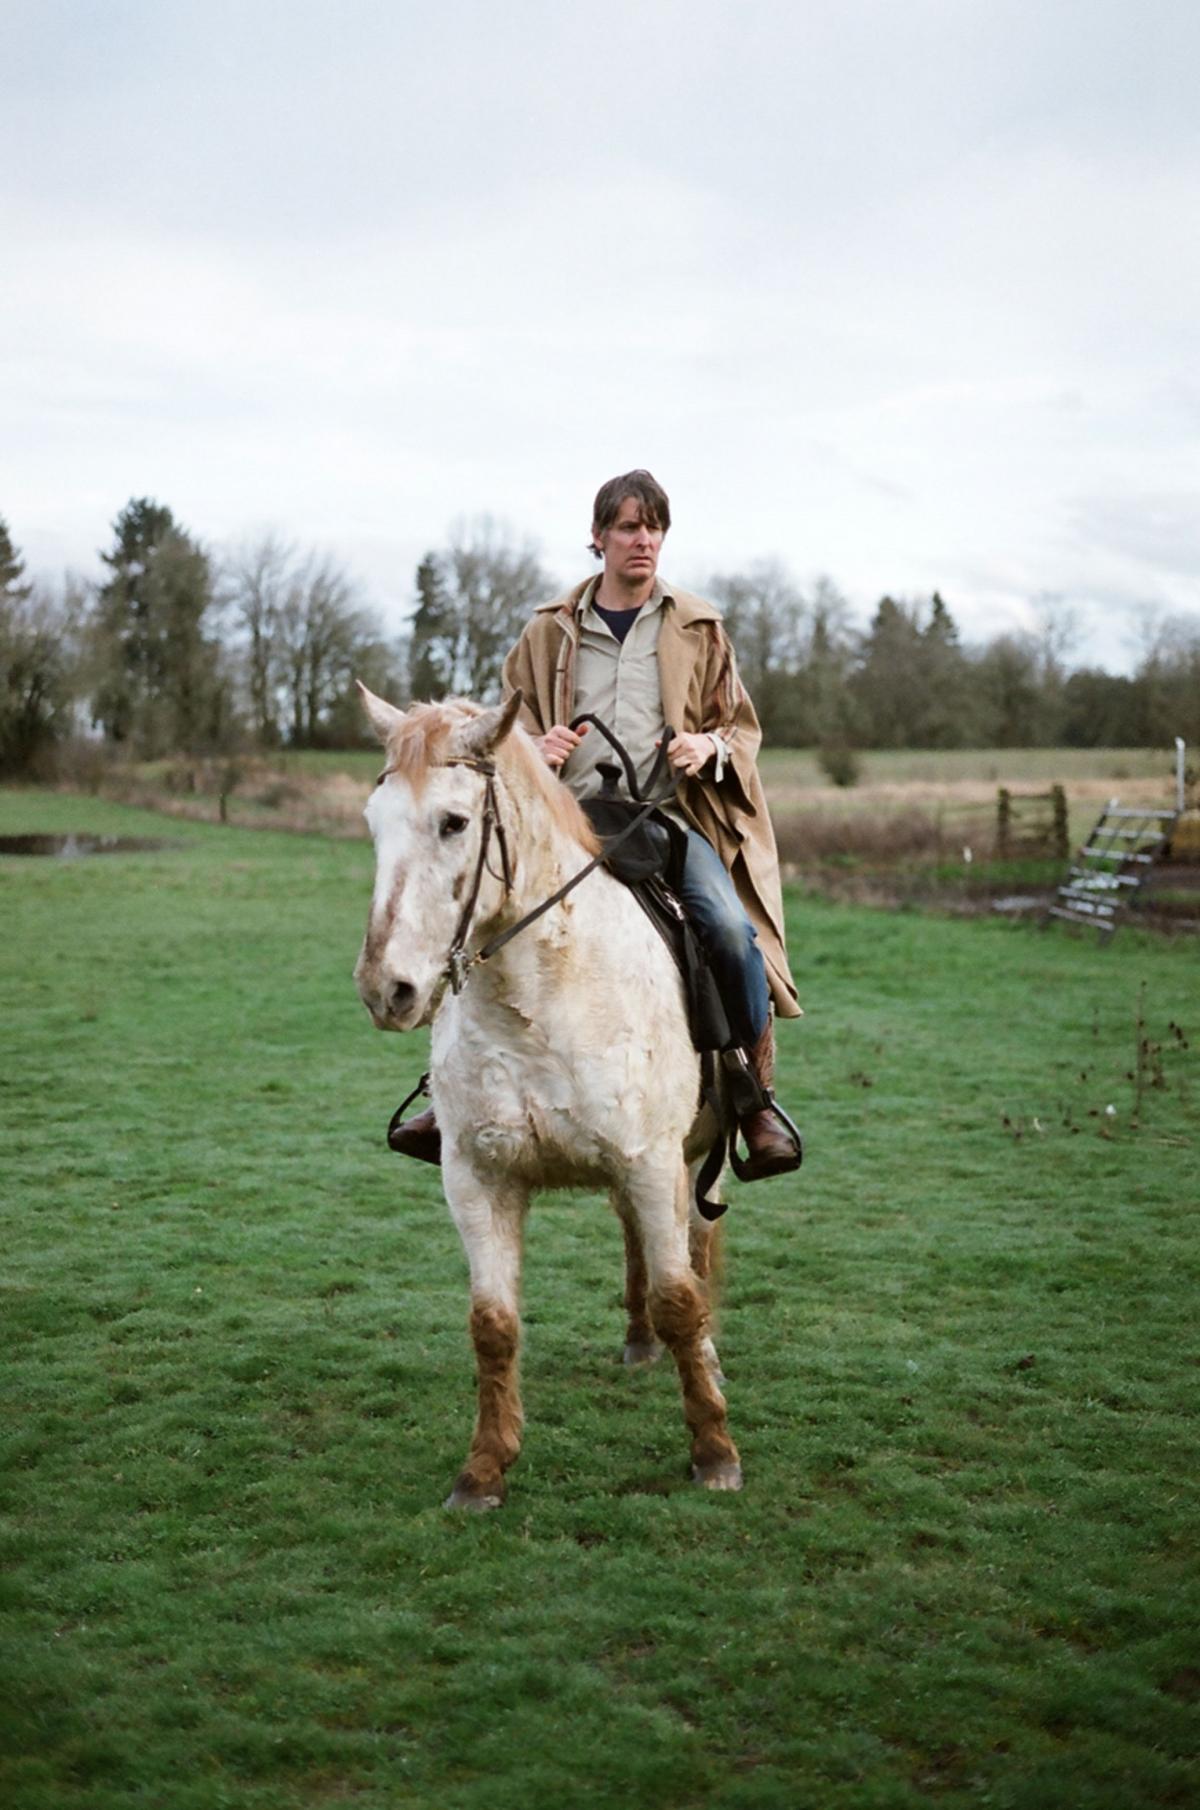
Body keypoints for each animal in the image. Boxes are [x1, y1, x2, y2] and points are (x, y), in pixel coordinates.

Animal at [352, 684, 738, 1505]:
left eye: (454, 822)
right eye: (374, 821)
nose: (385, 989)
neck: (540, 999)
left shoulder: (652, 1164)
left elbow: (681, 1299)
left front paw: (715, 1452)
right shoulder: (477, 1177)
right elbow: (492, 1324)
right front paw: (484, 1468)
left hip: (702, 1162)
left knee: (696, 1252)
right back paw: (638, 1343)